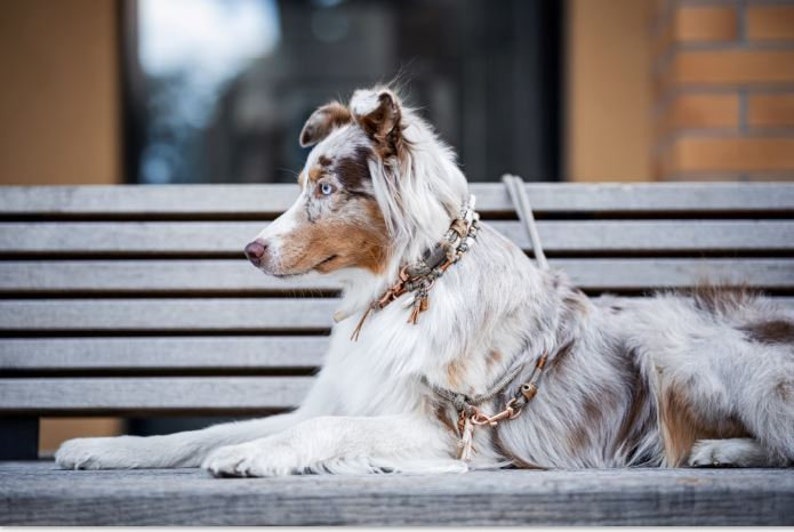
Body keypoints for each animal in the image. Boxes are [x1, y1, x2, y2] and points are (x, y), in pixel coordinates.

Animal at [57, 85, 792, 476]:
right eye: (301, 186)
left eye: (325, 189)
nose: (250, 249)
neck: (400, 289)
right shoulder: (337, 398)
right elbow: (207, 431)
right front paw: (108, 448)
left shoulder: (449, 430)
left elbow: (327, 433)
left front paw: (257, 456)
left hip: (681, 338)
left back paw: (719, 449)